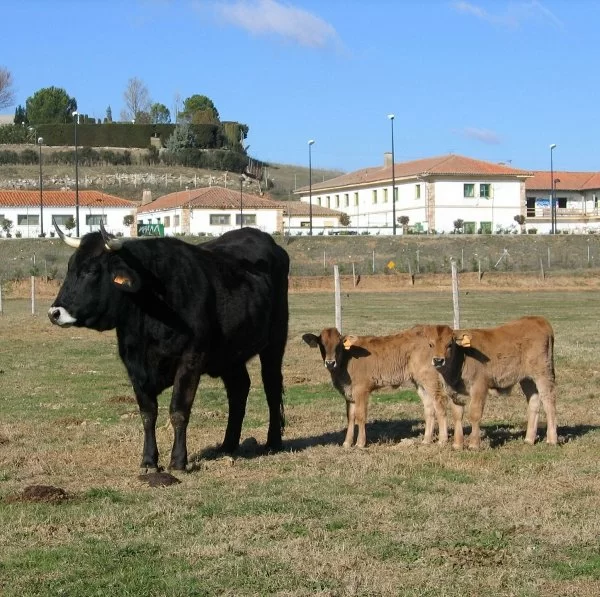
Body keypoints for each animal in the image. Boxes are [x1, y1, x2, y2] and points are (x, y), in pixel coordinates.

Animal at [49, 221, 288, 472]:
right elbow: (148, 414)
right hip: (230, 355)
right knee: (239, 389)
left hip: (275, 340)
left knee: (272, 386)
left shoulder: (191, 358)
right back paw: (227, 445)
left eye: (90, 271)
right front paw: (148, 460)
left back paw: (273, 441)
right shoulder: (133, 365)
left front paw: (178, 460)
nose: (55, 313)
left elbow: (178, 411)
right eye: (70, 268)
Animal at [302, 326, 448, 448]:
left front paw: (360, 443)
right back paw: (426, 440)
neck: (346, 360)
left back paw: (442, 440)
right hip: (420, 383)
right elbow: (350, 417)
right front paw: (347, 443)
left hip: (431, 379)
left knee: (440, 403)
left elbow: (360, 415)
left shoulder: (361, 390)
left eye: (338, 344)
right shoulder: (349, 393)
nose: (330, 362)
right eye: (321, 344)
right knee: (429, 408)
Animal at [428, 316, 556, 448]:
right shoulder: (454, 392)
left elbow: (475, 413)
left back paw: (551, 440)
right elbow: (457, 415)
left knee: (549, 401)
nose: (438, 360)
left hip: (543, 373)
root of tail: (538, 319)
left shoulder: (479, 387)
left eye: (449, 344)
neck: (463, 356)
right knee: (534, 402)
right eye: (430, 344)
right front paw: (457, 445)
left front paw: (474, 444)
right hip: (527, 379)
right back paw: (529, 439)